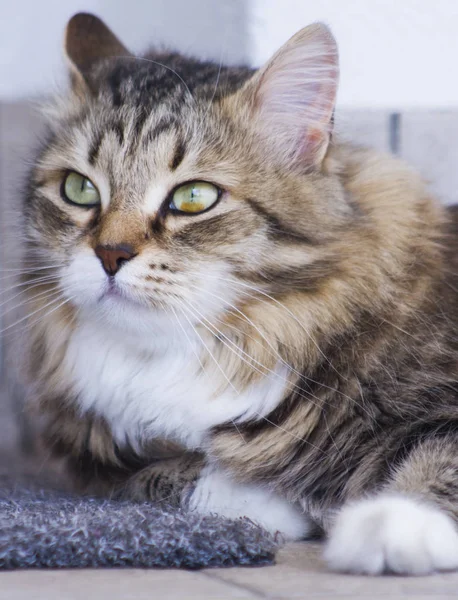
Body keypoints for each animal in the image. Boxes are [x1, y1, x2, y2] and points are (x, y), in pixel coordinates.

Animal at [18, 12, 458, 576]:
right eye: (79, 190)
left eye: (193, 198)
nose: (110, 254)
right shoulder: (95, 458)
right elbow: (155, 479)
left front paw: (391, 526)